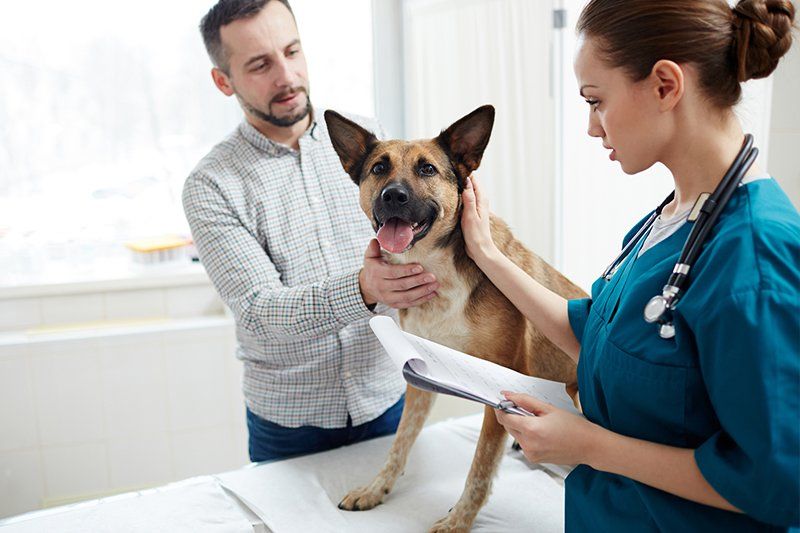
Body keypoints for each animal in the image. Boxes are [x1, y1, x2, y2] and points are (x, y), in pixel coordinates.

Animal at [322, 105, 584, 532]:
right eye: (379, 167)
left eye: (427, 169)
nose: (393, 195)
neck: (435, 269)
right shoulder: (420, 376)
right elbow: (399, 443)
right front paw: (376, 489)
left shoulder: (500, 389)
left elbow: (480, 468)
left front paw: (458, 520)